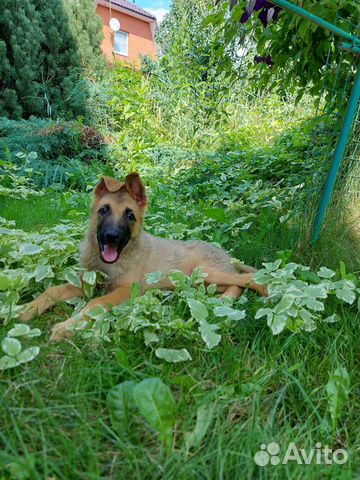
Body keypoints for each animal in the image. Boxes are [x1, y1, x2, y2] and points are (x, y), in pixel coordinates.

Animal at [19, 173, 268, 342]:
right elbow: (53, 290)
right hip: (202, 281)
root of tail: (228, 255)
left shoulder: (127, 290)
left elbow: (96, 303)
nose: (112, 237)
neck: (112, 263)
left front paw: (68, 326)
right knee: (236, 285)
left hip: (208, 271)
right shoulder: (86, 281)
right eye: (103, 210)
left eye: (130, 216)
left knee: (247, 281)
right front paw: (26, 309)